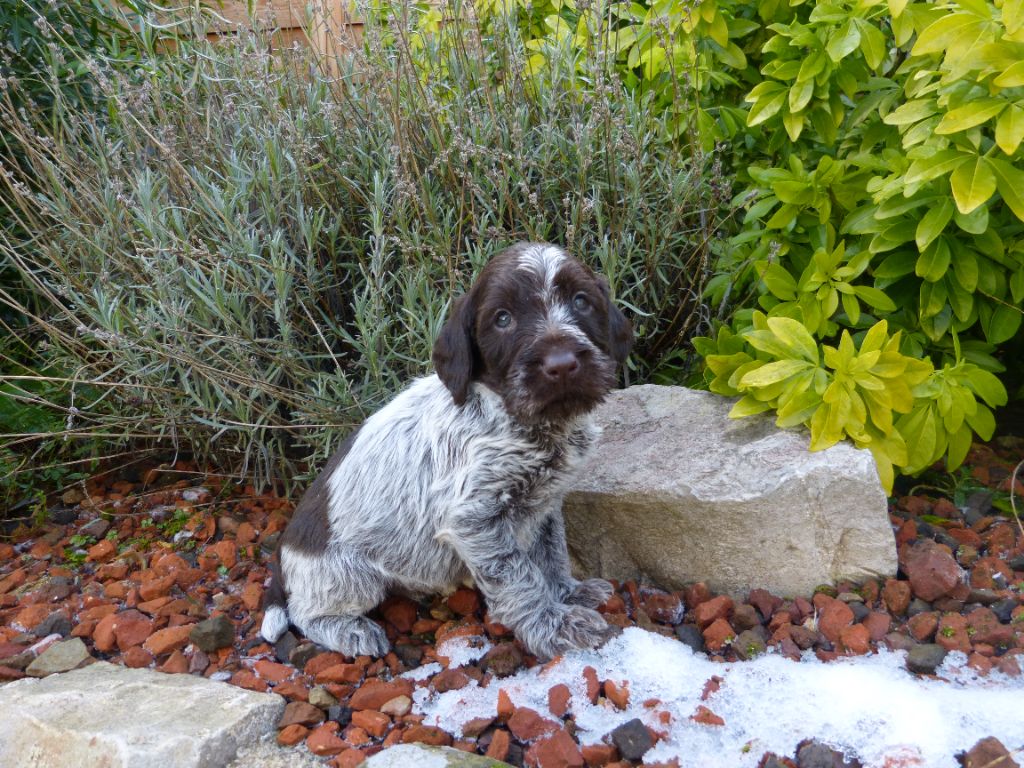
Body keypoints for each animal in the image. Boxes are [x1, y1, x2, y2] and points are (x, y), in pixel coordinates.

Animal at [260, 241, 630, 663]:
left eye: (581, 301)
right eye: (502, 319)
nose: (562, 364)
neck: (520, 419)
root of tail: (283, 554)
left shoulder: (545, 504)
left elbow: (551, 555)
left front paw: (568, 593)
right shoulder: (475, 518)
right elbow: (519, 578)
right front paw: (551, 626)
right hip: (351, 576)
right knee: (304, 614)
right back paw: (350, 630)